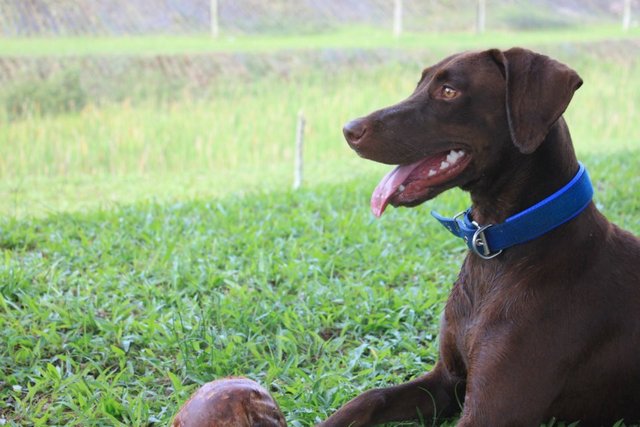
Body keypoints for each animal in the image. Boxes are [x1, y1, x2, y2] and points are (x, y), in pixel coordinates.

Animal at [330, 46, 640, 427]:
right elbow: (370, 397)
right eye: (419, 84)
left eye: (449, 91)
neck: (501, 247)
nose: (349, 129)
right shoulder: (446, 381)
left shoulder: (491, 411)